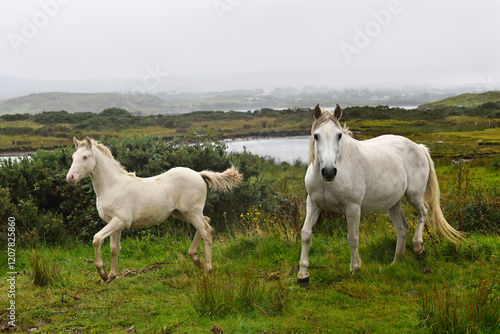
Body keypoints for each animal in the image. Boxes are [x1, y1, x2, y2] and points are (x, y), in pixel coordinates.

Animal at [66, 136, 242, 282]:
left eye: (85, 157)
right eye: (73, 157)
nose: (70, 178)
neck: (112, 186)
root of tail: (199, 174)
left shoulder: (120, 221)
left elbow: (96, 239)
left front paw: (102, 273)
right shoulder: (115, 223)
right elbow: (114, 248)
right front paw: (111, 276)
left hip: (191, 212)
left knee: (207, 232)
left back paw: (207, 270)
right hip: (182, 213)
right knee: (207, 222)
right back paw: (196, 260)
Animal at [296, 105, 464, 288]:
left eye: (339, 135)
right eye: (316, 135)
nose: (328, 171)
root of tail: (419, 147)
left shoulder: (353, 208)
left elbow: (352, 238)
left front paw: (355, 268)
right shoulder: (313, 204)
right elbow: (306, 234)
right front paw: (303, 275)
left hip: (414, 195)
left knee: (424, 211)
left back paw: (419, 247)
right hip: (393, 204)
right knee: (402, 227)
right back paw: (396, 261)